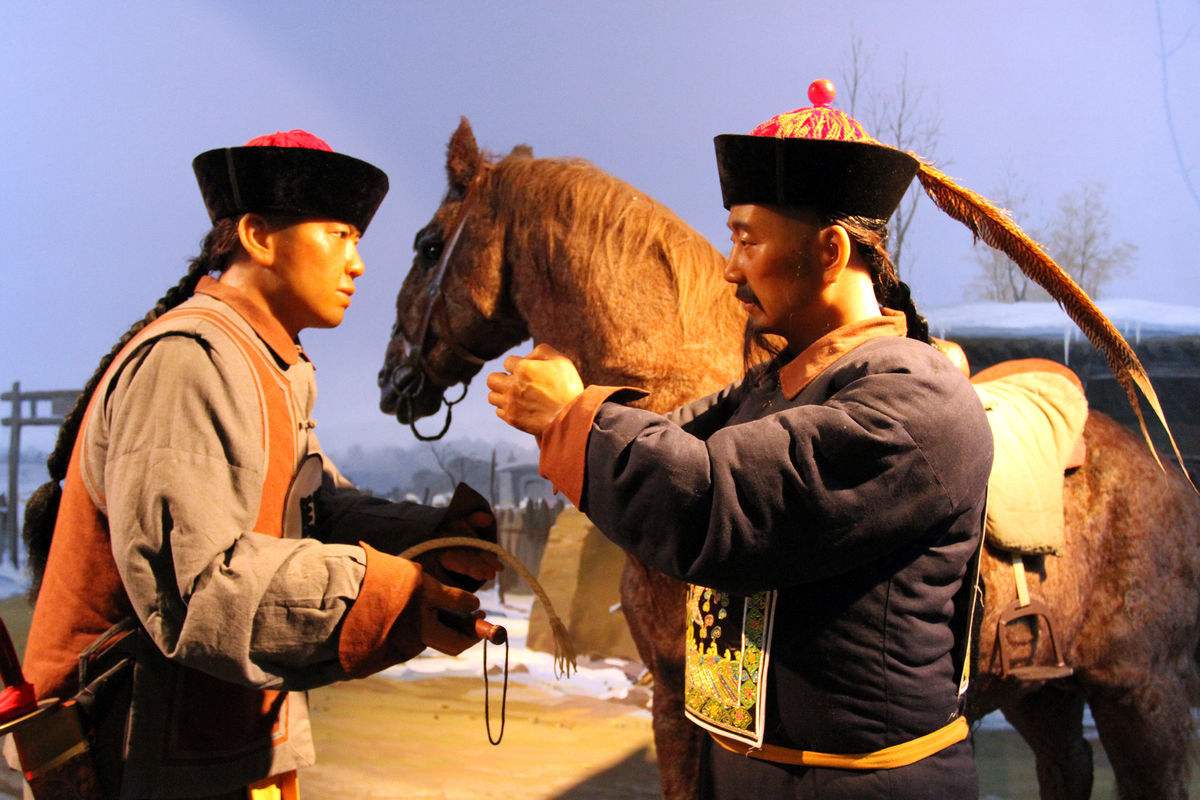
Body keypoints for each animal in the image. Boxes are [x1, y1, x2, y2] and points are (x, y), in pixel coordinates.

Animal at [376, 118, 1200, 800]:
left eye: (427, 245)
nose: (389, 381)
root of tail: (1170, 483)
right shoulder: (671, 701)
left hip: (1140, 697)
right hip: (1046, 692)